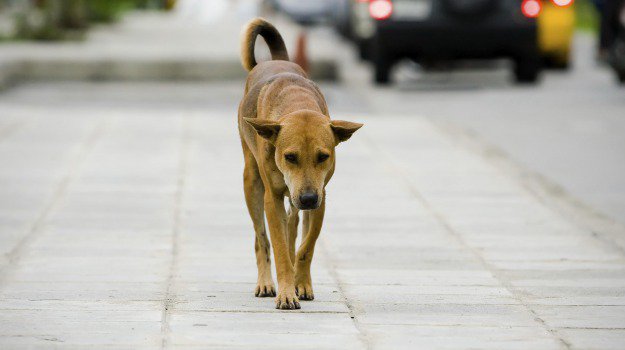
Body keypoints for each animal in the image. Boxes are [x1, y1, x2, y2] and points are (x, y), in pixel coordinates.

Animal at [238, 18, 364, 308]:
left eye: (323, 156)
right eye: (289, 156)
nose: (307, 198)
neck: (297, 103)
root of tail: (276, 60)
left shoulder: (322, 196)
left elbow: (307, 245)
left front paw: (302, 283)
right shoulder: (273, 198)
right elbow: (279, 247)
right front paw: (286, 292)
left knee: (293, 226)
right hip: (252, 181)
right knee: (261, 238)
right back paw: (265, 282)